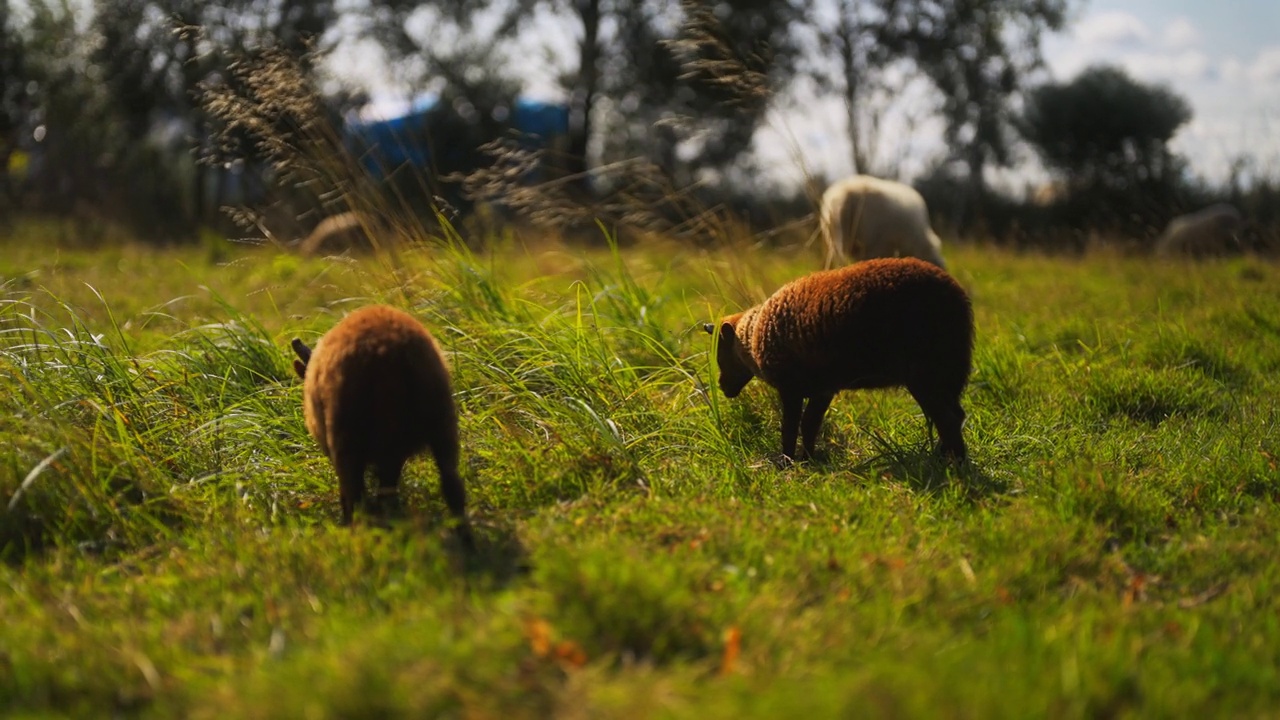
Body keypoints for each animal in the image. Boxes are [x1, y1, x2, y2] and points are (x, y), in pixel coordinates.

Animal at [293, 302, 473, 543]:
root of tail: (392, 347)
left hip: (351, 437)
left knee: (358, 494)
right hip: (441, 421)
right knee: (451, 484)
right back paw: (466, 540)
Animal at [711, 257, 967, 458]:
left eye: (720, 355)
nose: (722, 387)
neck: (752, 336)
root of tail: (957, 297)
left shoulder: (791, 388)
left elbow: (790, 429)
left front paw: (788, 462)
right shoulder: (822, 390)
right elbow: (809, 425)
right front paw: (808, 460)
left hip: (927, 373)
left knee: (948, 420)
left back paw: (955, 465)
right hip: (946, 374)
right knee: (955, 416)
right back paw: (945, 458)